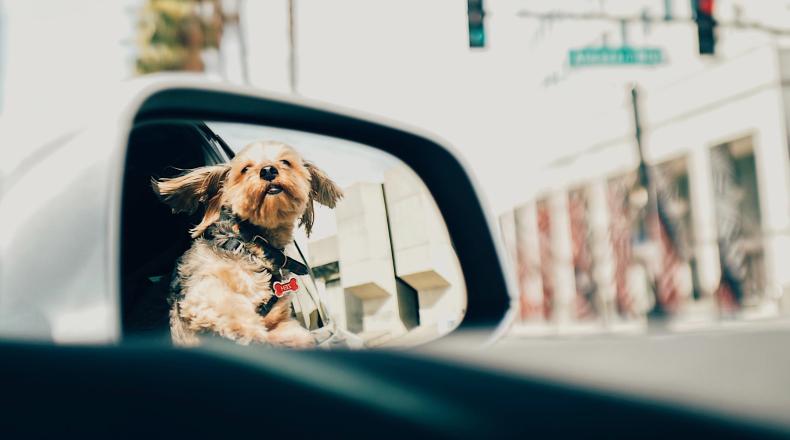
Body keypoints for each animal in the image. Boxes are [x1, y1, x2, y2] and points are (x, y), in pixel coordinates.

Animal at [153, 141, 342, 348]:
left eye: (286, 162)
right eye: (245, 169)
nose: (268, 170)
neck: (253, 242)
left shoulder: (279, 319)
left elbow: (293, 334)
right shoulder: (203, 291)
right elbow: (232, 308)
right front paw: (250, 333)